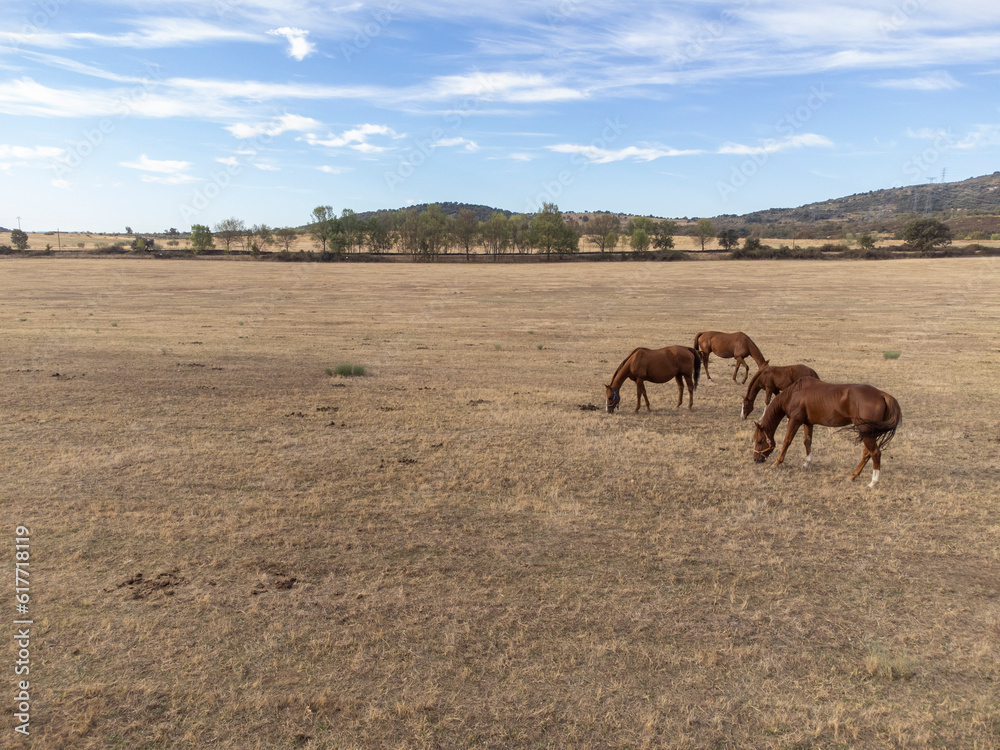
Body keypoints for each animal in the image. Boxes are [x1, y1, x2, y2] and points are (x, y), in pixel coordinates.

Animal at [752, 378, 904, 490]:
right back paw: (853, 476)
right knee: (867, 453)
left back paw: (873, 482)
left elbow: (787, 441)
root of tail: (882, 394)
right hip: (870, 433)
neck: (794, 393)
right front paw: (807, 463)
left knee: (875, 453)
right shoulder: (808, 423)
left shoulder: (795, 421)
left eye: (759, 441)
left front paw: (777, 463)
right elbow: (807, 441)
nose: (756, 459)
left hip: (866, 432)